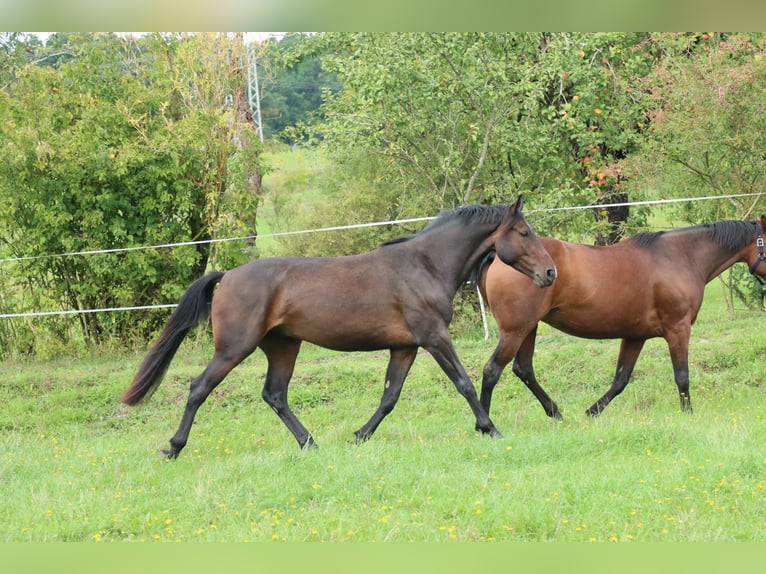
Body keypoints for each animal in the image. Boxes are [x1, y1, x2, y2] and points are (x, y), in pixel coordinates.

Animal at [122, 196, 557, 459]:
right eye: (524, 233)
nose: (550, 273)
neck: (425, 265)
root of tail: (227, 276)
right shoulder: (434, 338)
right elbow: (463, 382)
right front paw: (490, 429)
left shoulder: (405, 347)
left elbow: (389, 396)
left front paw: (361, 435)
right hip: (234, 348)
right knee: (200, 388)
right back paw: (174, 448)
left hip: (283, 346)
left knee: (275, 394)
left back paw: (310, 443)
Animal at [477, 215, 766, 420]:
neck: (680, 256)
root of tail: (498, 257)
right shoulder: (678, 328)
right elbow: (682, 375)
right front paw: (688, 414)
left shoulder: (635, 336)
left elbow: (620, 380)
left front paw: (592, 412)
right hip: (515, 330)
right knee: (493, 370)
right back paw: (486, 424)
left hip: (529, 328)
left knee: (523, 369)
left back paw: (555, 413)